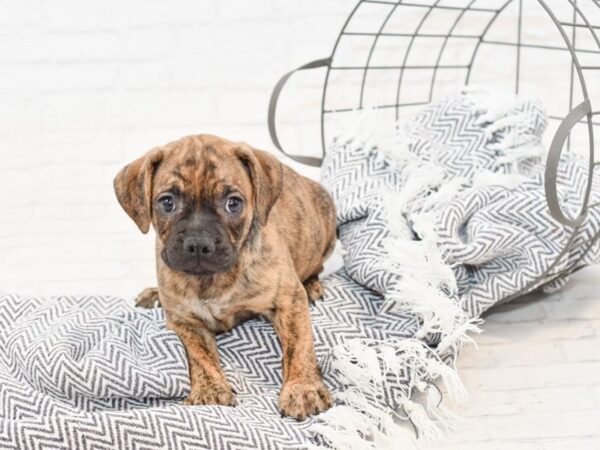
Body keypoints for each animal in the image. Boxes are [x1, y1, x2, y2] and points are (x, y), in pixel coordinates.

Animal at [113, 135, 338, 420]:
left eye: (233, 203)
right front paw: (210, 389)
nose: (198, 243)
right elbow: (200, 356)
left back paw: (312, 286)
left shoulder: (288, 299)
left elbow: (299, 346)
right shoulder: (185, 321)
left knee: (316, 268)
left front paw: (302, 388)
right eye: (167, 203)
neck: (212, 278)